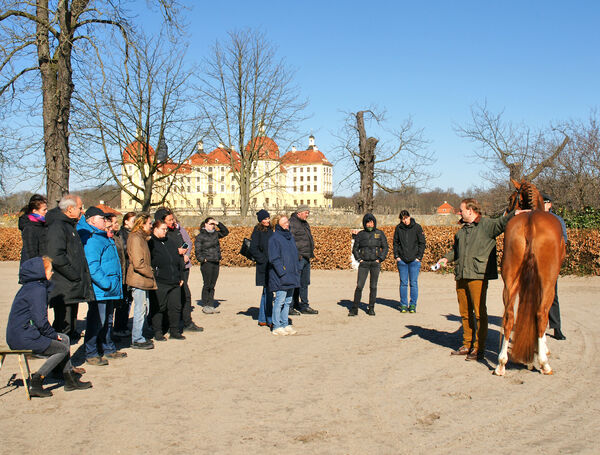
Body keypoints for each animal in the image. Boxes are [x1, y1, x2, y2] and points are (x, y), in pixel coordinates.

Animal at [494, 182, 564, 378]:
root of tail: (531, 221)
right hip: (548, 283)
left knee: (509, 316)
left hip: (510, 282)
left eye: (511, 198)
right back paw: (544, 364)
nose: (506, 212)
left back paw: (501, 363)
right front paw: (542, 349)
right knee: (541, 314)